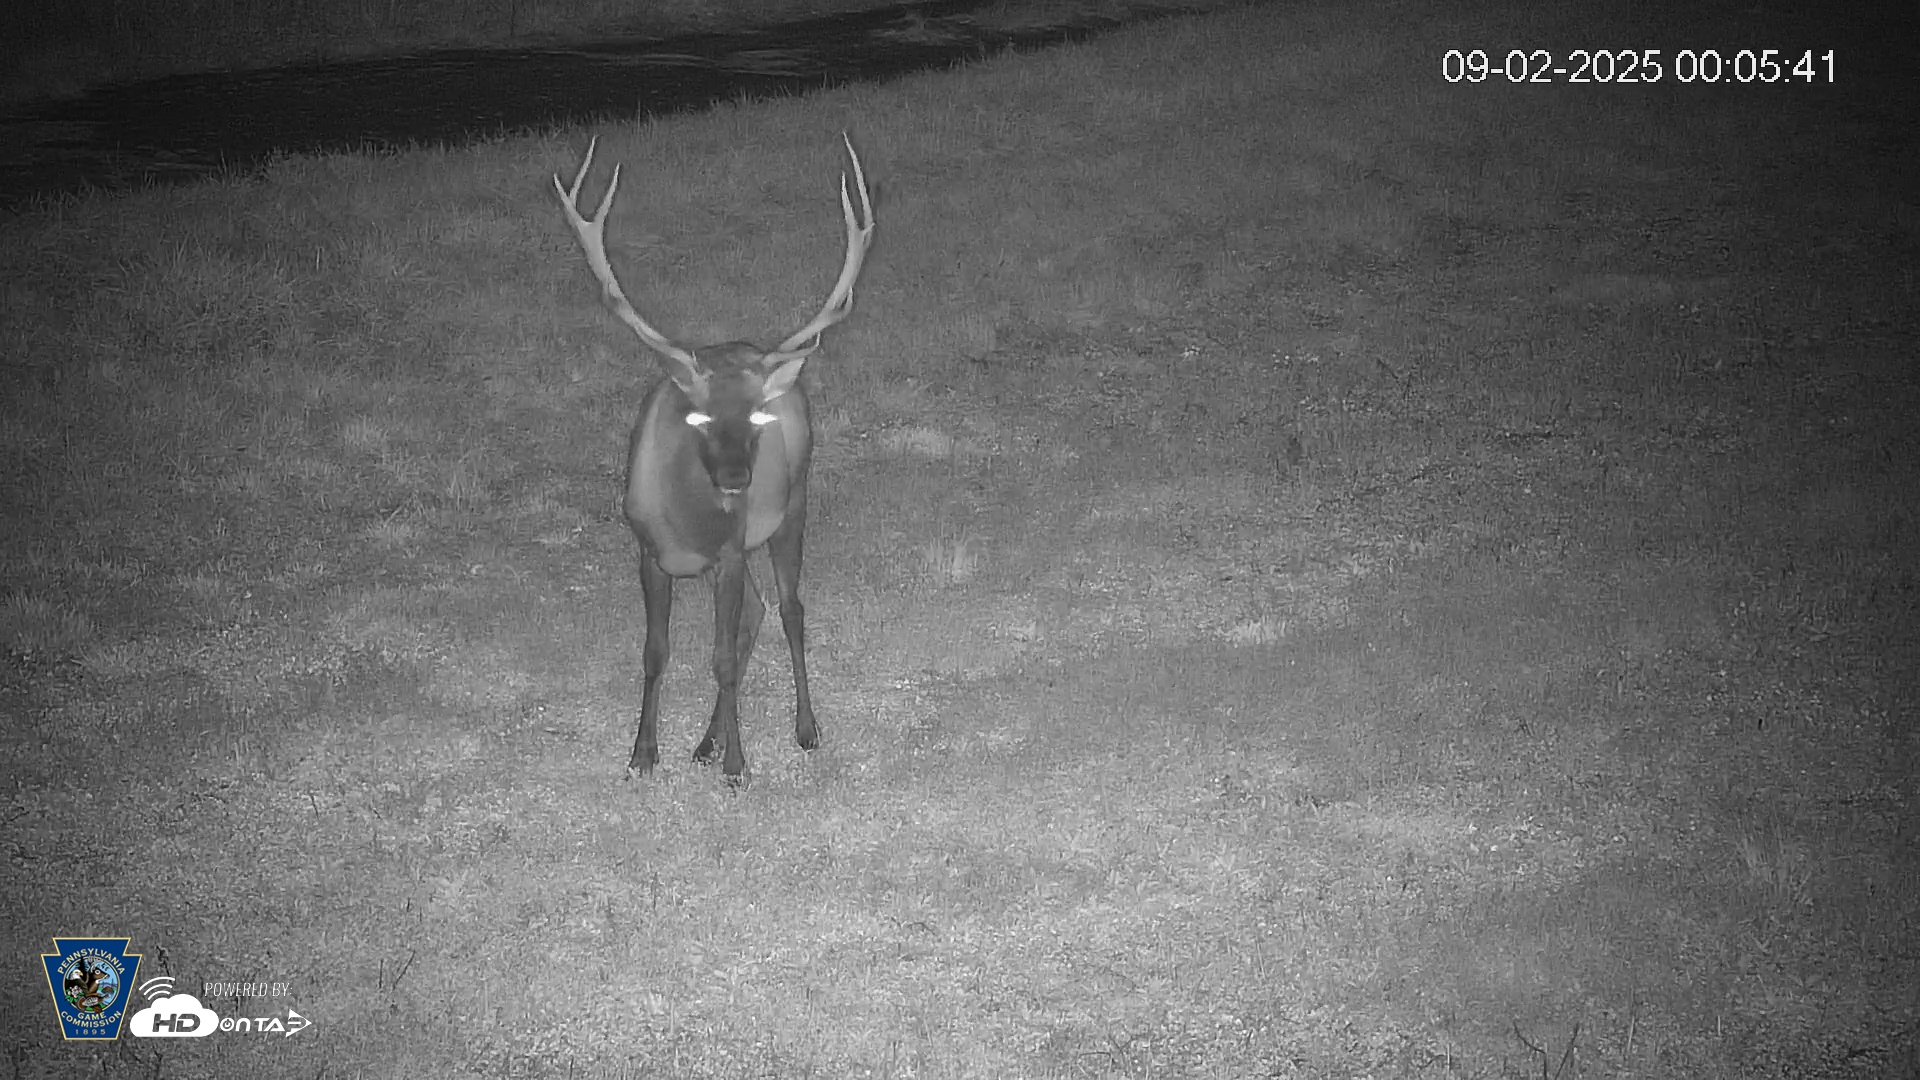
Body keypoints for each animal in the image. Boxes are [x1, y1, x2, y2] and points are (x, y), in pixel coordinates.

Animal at [552, 133, 874, 784]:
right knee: (755, 612)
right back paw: (705, 740)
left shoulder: (726, 549)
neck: (684, 523)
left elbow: (721, 657)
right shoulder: (650, 552)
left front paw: (737, 766)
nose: (735, 478)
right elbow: (656, 653)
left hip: (791, 506)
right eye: (698, 417)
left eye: (756, 418)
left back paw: (803, 729)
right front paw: (643, 755)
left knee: (788, 609)